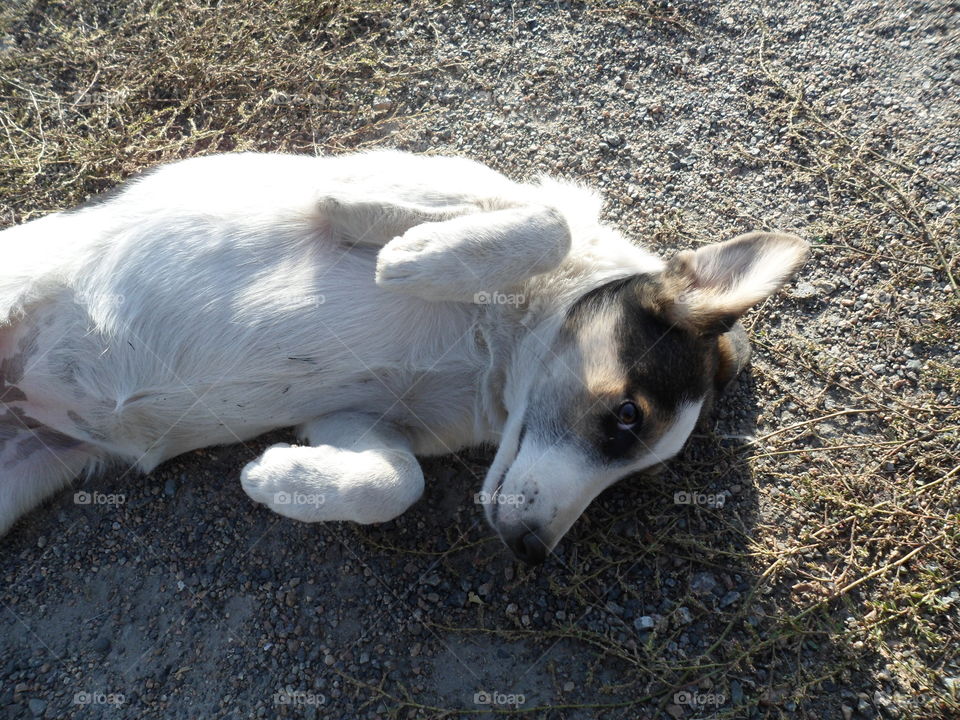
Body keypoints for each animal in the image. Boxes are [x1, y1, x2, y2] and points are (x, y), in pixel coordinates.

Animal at [0, 152, 808, 564]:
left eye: (636, 478)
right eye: (627, 415)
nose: (530, 550)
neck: (495, 348)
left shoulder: (352, 419)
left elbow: (396, 484)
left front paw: (283, 481)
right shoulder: (364, 178)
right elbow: (549, 220)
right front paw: (417, 259)